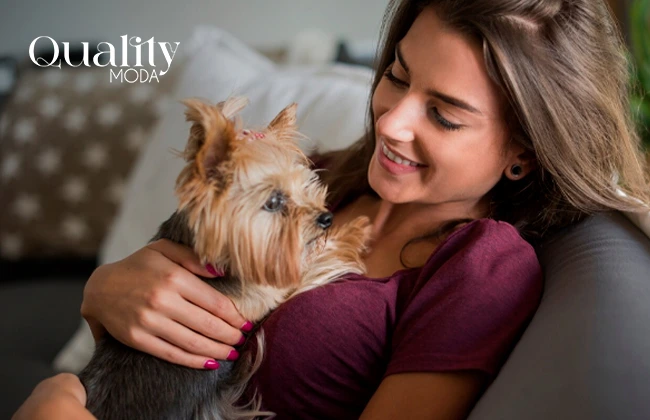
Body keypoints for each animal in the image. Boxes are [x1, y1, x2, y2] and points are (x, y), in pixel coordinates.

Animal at [78, 97, 368, 418]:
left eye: (307, 187)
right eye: (273, 202)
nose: (327, 218)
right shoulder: (268, 282)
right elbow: (311, 264)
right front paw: (356, 230)